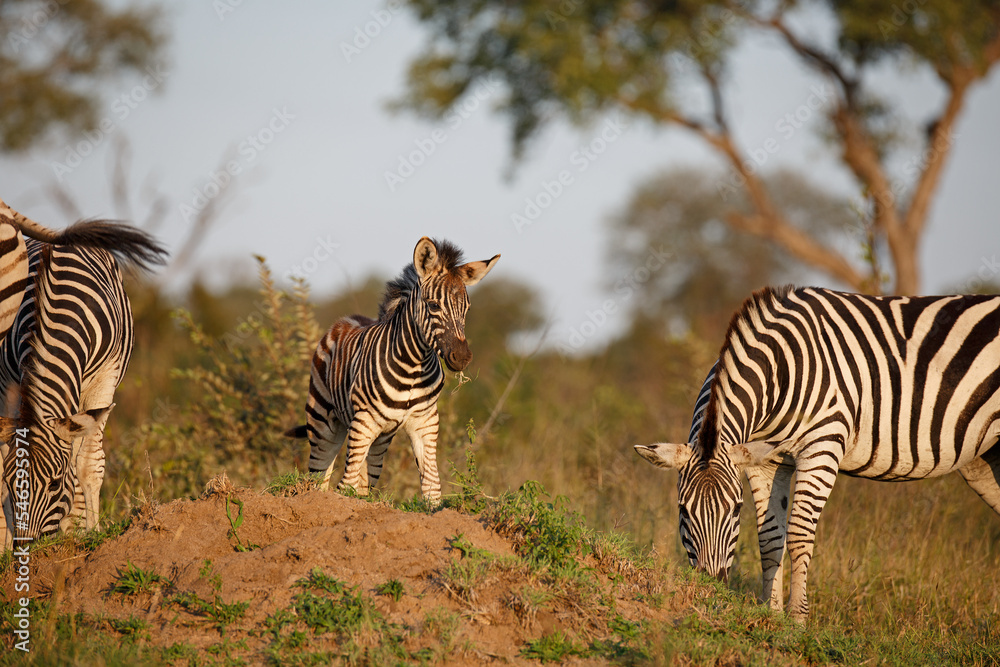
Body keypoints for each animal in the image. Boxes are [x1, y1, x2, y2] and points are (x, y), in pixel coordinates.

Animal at [0, 221, 166, 544]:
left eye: (54, 484)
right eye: (13, 483)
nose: (25, 548)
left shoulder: (104, 381)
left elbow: (88, 465)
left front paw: (92, 532)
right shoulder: (7, 382)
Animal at [286, 237, 499, 502]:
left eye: (467, 309)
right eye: (432, 305)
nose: (461, 358)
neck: (413, 368)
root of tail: (345, 319)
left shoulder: (425, 422)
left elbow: (432, 488)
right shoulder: (364, 420)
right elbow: (345, 486)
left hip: (380, 437)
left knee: (362, 481)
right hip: (324, 423)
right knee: (318, 477)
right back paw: (313, 501)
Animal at [635, 285, 1000, 621]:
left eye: (736, 509)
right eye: (683, 510)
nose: (709, 587)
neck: (781, 370)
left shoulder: (823, 447)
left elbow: (798, 533)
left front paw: (797, 620)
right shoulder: (765, 460)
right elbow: (770, 535)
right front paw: (771, 615)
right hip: (986, 459)